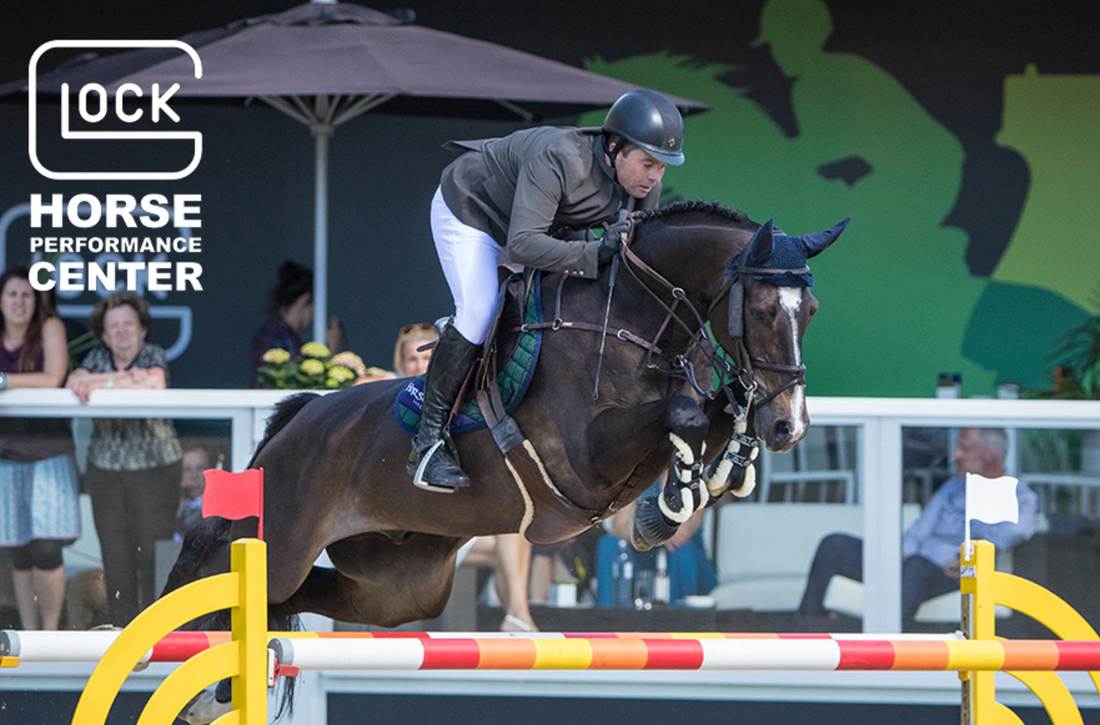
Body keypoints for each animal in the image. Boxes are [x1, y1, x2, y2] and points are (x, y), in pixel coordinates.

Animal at [167, 201, 844, 633]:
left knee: (298, 595)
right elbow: (686, 417)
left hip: (399, 583)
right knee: (212, 549)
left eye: (811, 310)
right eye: (762, 310)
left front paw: (718, 469)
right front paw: (669, 503)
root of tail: (303, 415)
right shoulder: (583, 460)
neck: (633, 318)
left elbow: (713, 415)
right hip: (282, 531)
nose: (790, 426)